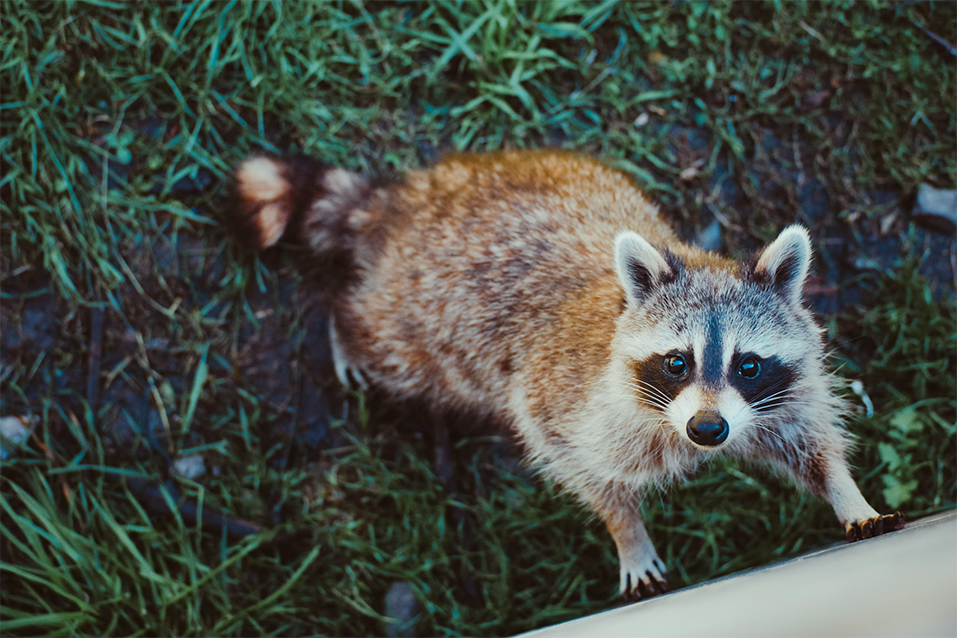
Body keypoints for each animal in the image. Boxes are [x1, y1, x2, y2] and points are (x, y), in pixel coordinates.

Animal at [232, 152, 904, 604]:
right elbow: (581, 464)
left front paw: (847, 492)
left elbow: (808, 439)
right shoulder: (564, 397)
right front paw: (626, 531)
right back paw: (344, 329)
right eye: (678, 361)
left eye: (748, 364)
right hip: (419, 318)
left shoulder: (777, 393)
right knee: (387, 342)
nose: (708, 430)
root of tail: (415, 200)